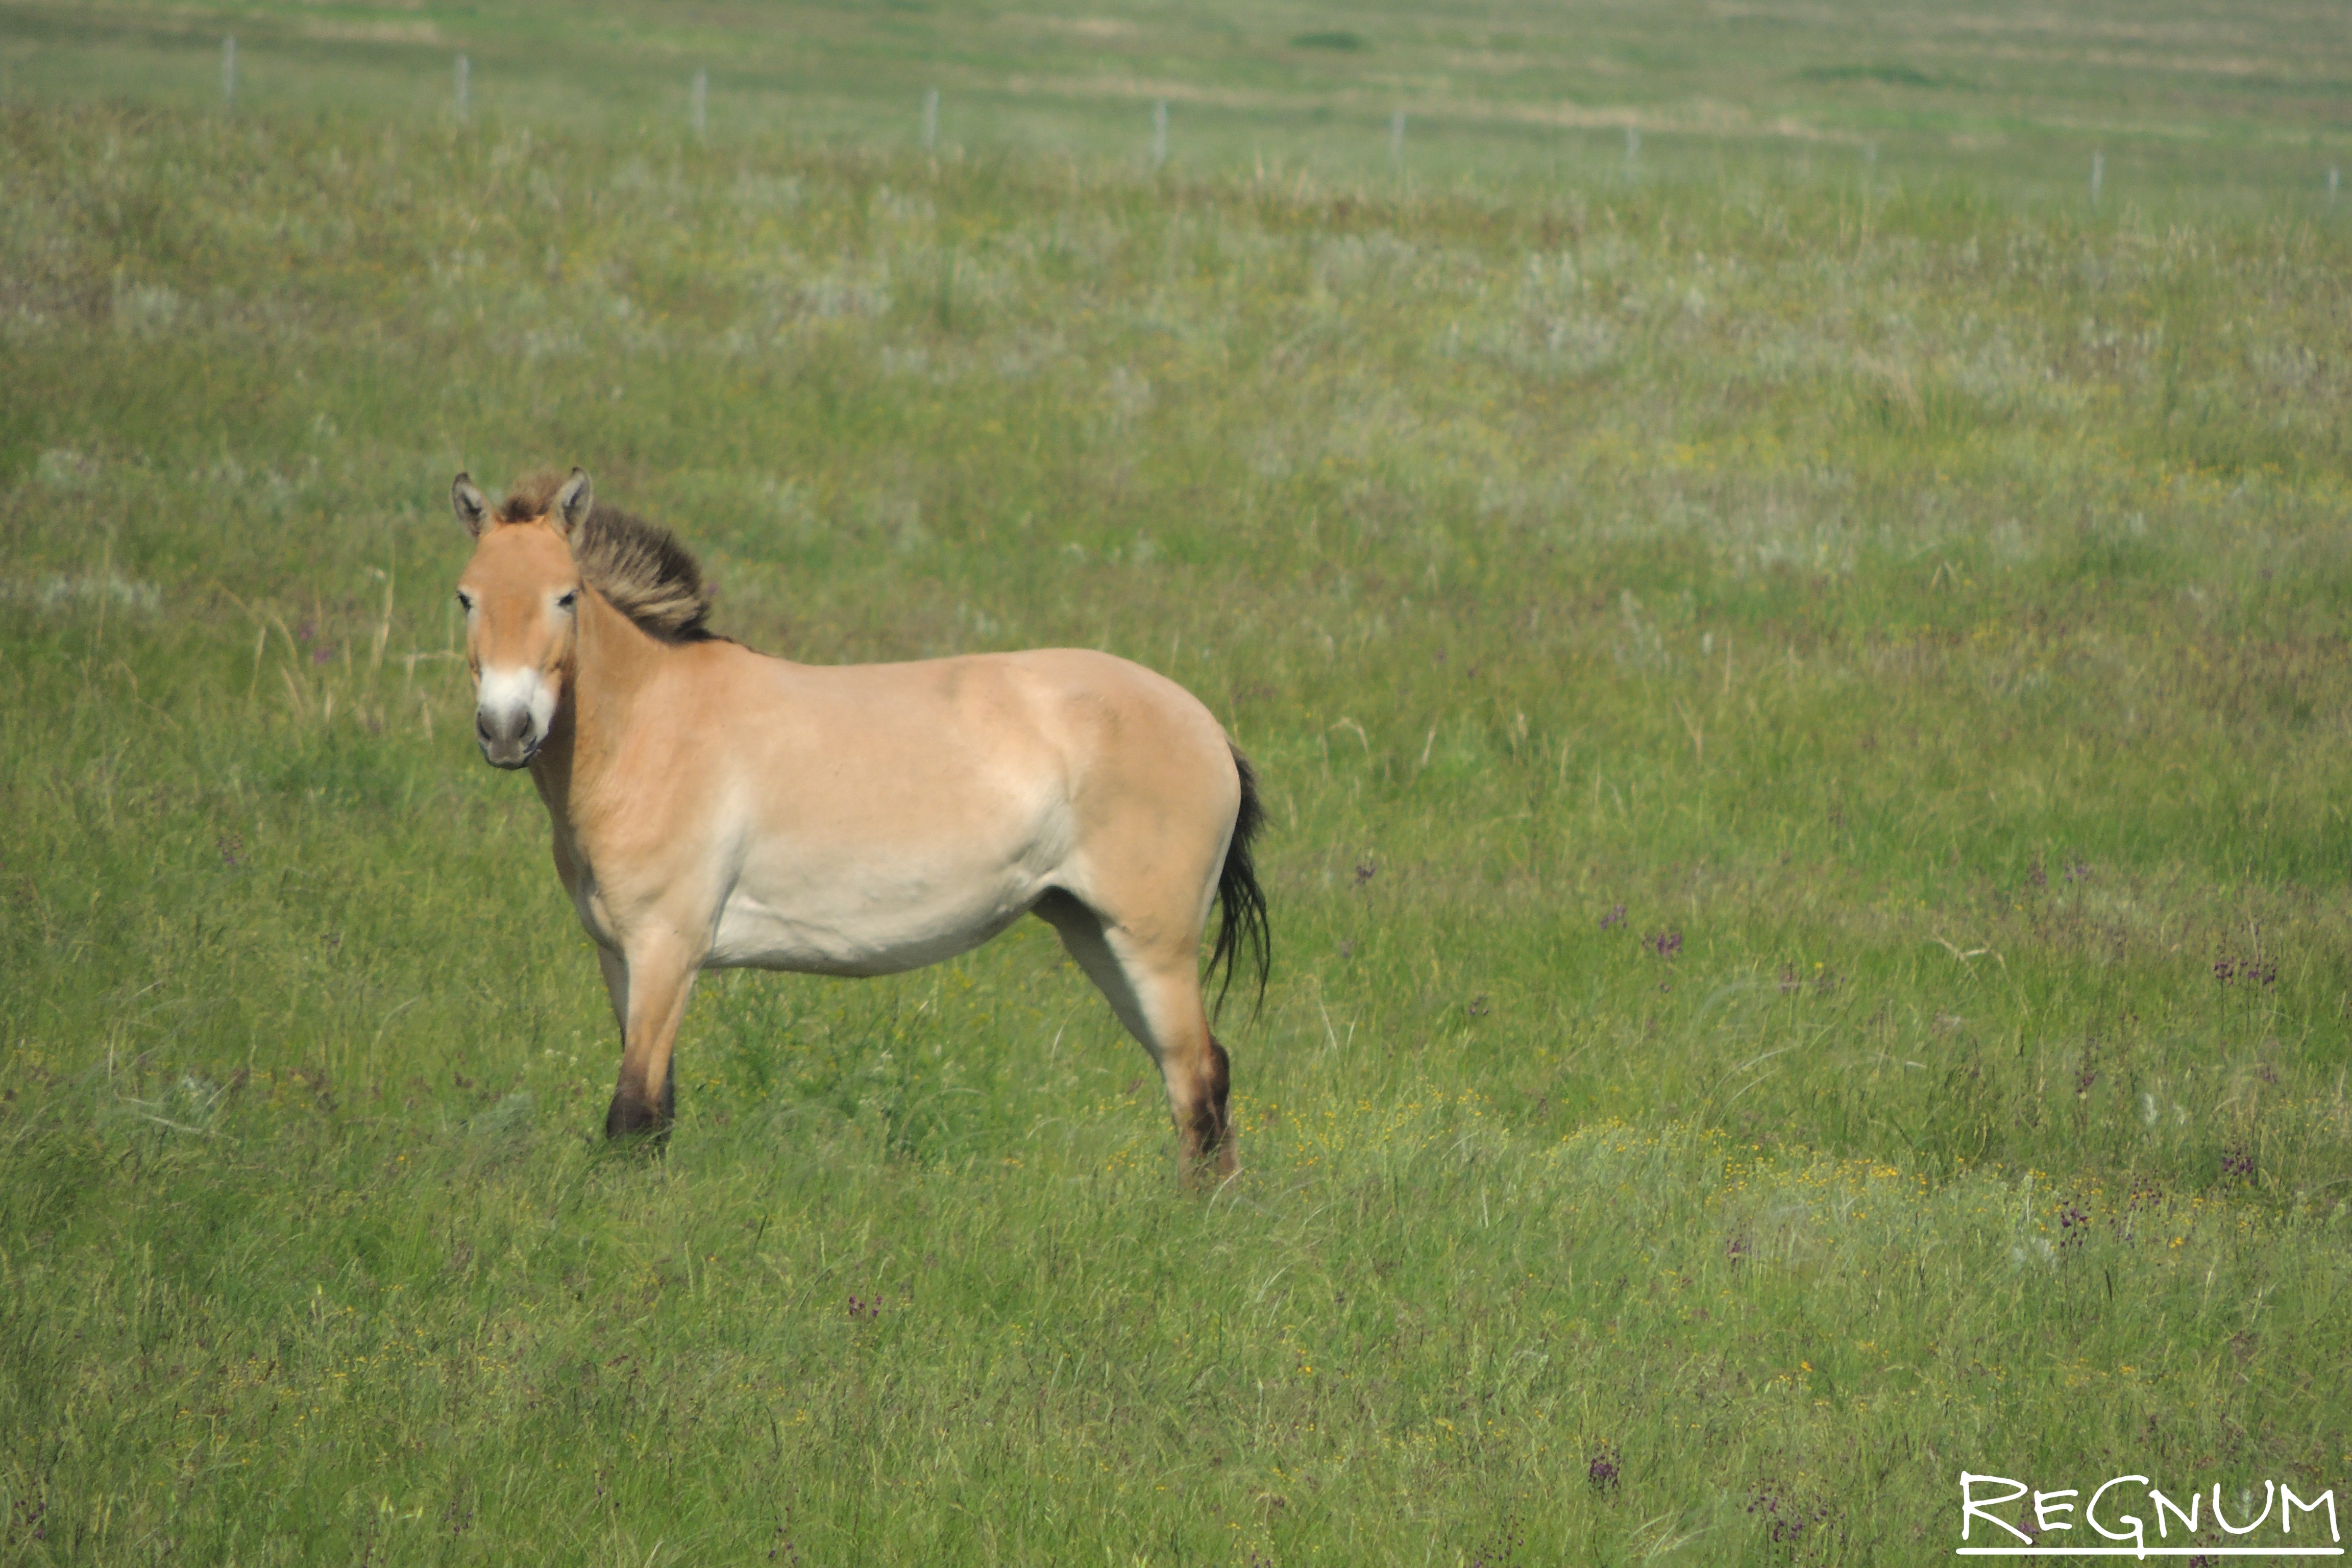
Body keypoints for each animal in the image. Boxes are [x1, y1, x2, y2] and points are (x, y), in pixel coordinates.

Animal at [451, 465, 1279, 1175]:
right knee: (1191, 1079)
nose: (506, 730)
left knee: (1198, 1080)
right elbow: (658, 1115)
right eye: (465, 598)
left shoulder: (666, 951)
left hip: (1154, 948)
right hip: (1094, 935)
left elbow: (634, 1114)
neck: (654, 726)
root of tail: (1208, 727)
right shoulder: (619, 957)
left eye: (566, 597)